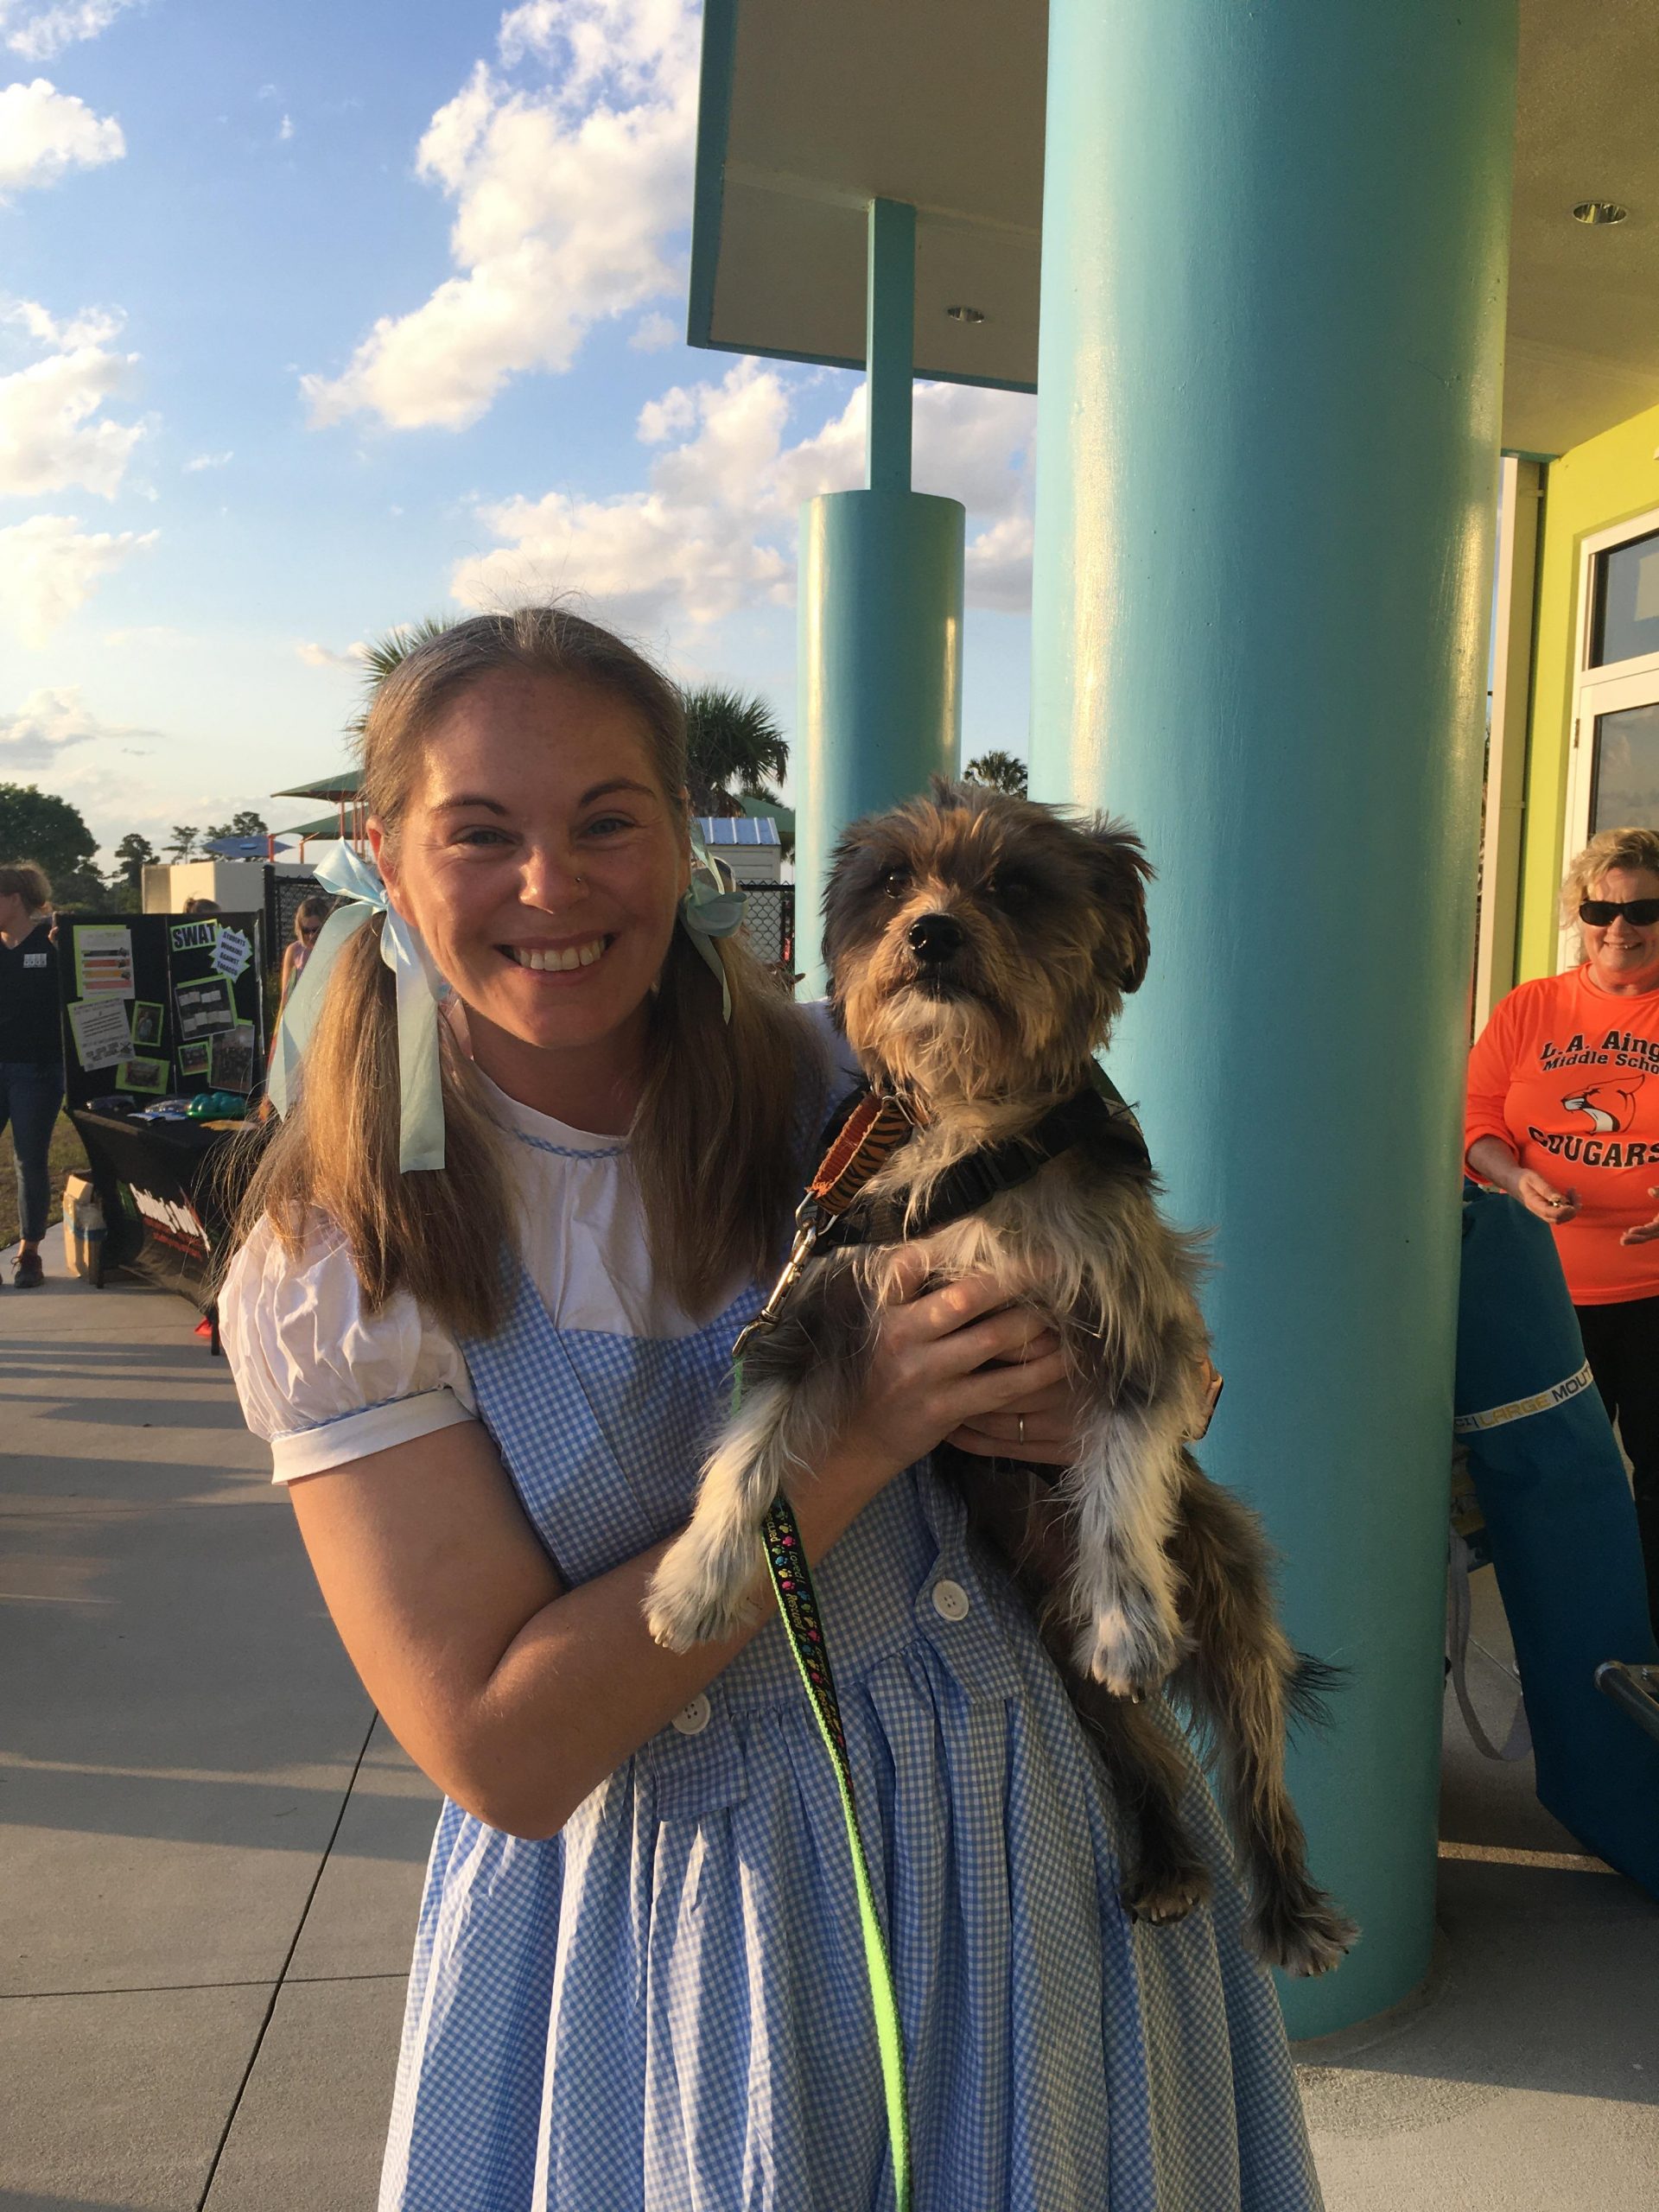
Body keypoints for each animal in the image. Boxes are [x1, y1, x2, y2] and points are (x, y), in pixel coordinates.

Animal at [641, 787, 1353, 1981]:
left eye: (1016, 886)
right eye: (891, 881)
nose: (931, 932)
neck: (975, 1131)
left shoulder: (1137, 1330)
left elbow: (1116, 1477)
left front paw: (1128, 1615)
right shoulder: (815, 1308)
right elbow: (745, 1452)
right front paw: (697, 1578)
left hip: (1225, 1597)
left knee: (1254, 1759)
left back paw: (1288, 1902)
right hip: (1068, 1665)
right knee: (1145, 1754)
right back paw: (1166, 1862)